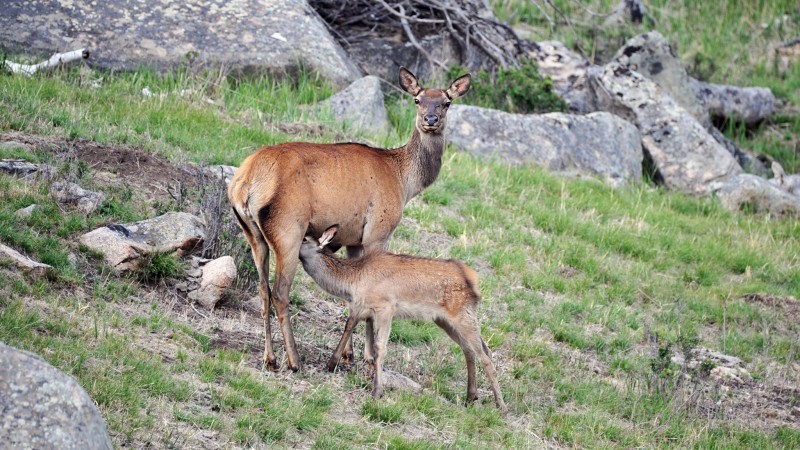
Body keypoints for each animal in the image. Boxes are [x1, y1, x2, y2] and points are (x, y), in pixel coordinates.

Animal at [228, 67, 472, 370]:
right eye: (417, 99)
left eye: (446, 102)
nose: (430, 120)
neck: (404, 181)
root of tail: (244, 183)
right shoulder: (378, 231)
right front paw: (369, 357)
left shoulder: (354, 239)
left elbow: (353, 294)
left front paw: (349, 354)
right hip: (288, 229)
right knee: (280, 293)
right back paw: (295, 360)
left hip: (252, 234)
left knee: (262, 289)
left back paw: (270, 357)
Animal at [300, 225, 506, 412]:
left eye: (305, 238)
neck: (352, 281)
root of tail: (474, 282)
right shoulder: (360, 307)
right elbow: (349, 327)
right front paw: (331, 364)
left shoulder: (386, 307)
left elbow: (379, 347)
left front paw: (377, 391)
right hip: (445, 320)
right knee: (471, 350)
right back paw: (471, 397)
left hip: (463, 314)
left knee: (485, 355)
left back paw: (501, 405)